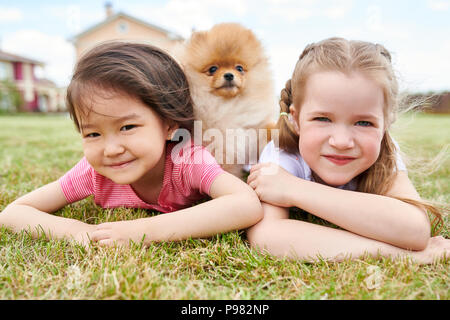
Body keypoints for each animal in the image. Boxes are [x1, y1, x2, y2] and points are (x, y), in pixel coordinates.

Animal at [179, 22, 278, 178]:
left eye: (239, 68)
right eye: (213, 69)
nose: (229, 75)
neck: (227, 105)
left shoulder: (254, 133)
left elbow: (267, 130)